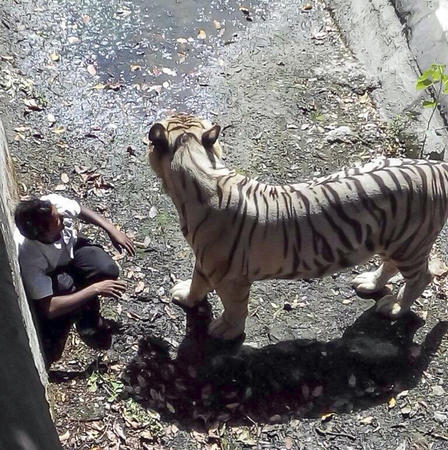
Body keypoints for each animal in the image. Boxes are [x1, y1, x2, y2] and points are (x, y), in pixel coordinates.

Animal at [149, 114, 446, 340]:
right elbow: (198, 283)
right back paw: (369, 282)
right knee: (391, 266)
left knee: (422, 277)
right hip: (391, 239)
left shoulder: (229, 276)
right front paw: (186, 296)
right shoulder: (206, 261)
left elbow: (235, 307)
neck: (196, 162)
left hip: (411, 243)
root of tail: (436, 167)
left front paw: (226, 331)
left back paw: (395, 307)